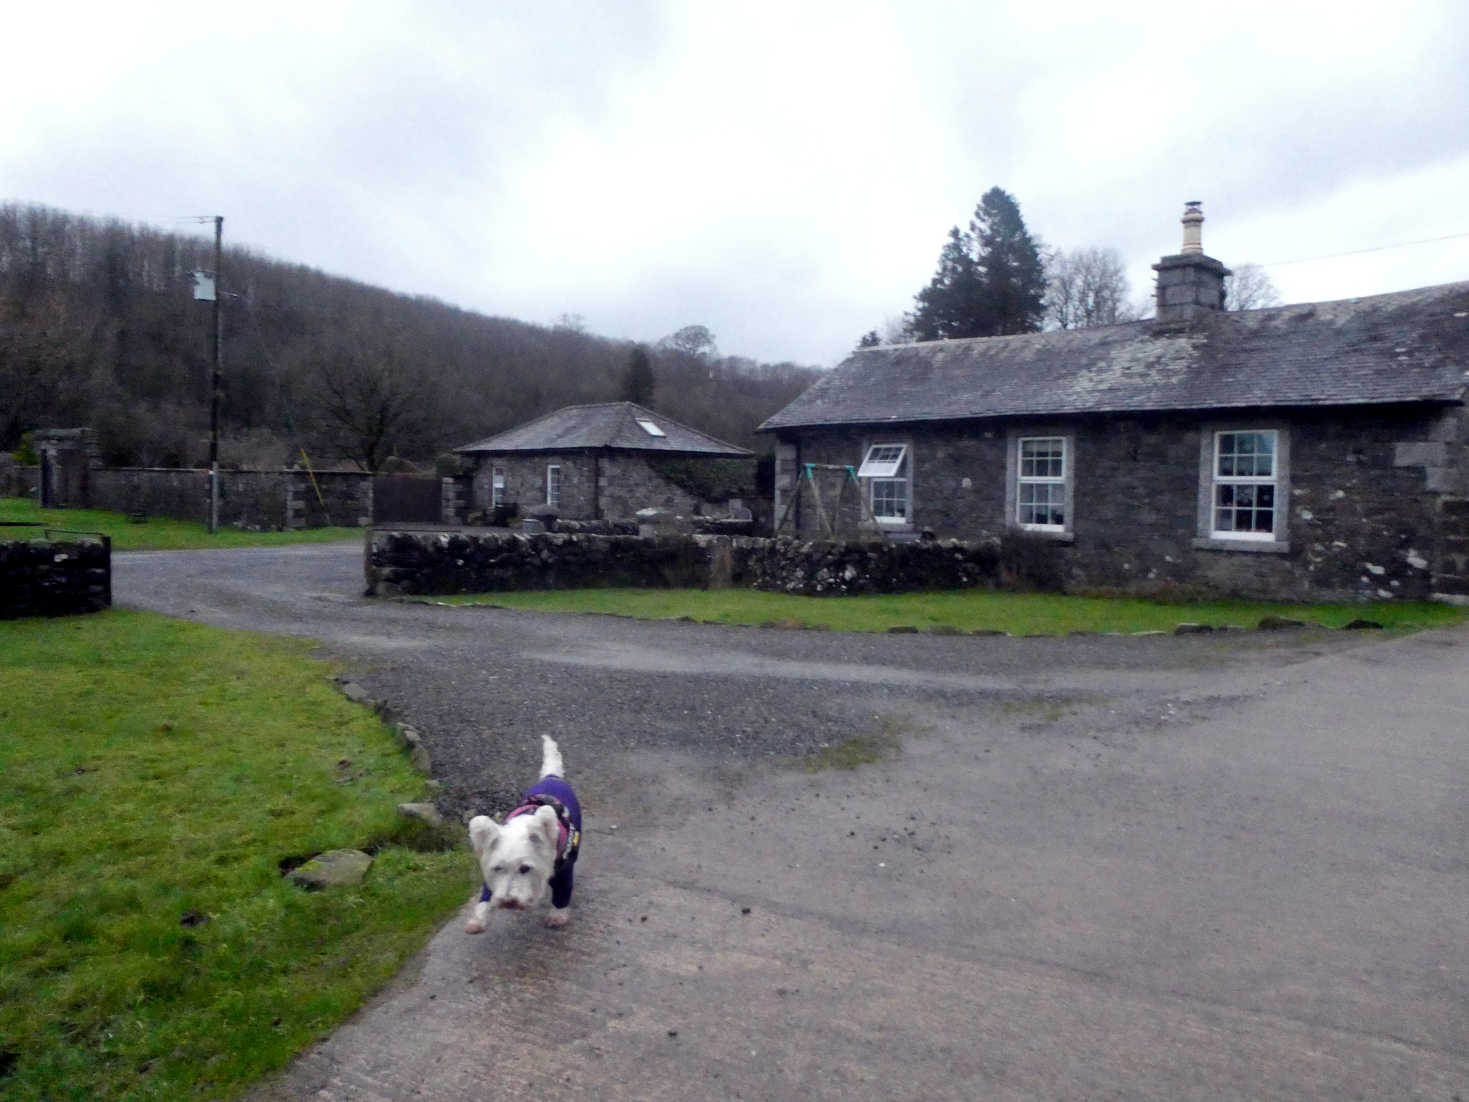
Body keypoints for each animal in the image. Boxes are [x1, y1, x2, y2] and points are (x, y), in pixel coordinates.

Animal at [464, 734, 578, 934]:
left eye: (525, 868)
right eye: (498, 868)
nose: (508, 902)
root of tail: (552, 776)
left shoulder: (563, 873)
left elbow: (562, 895)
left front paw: (557, 916)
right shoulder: (491, 870)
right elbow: (486, 896)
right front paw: (478, 920)